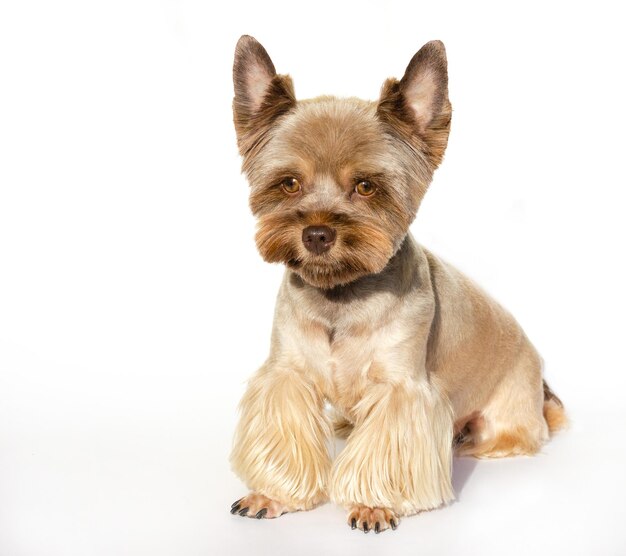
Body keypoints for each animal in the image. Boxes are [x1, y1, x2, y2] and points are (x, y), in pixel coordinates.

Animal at [225, 35, 564, 536]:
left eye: (366, 186)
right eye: (289, 183)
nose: (317, 233)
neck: (341, 294)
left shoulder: (401, 388)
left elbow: (383, 448)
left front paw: (372, 505)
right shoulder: (287, 374)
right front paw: (273, 494)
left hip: (506, 416)